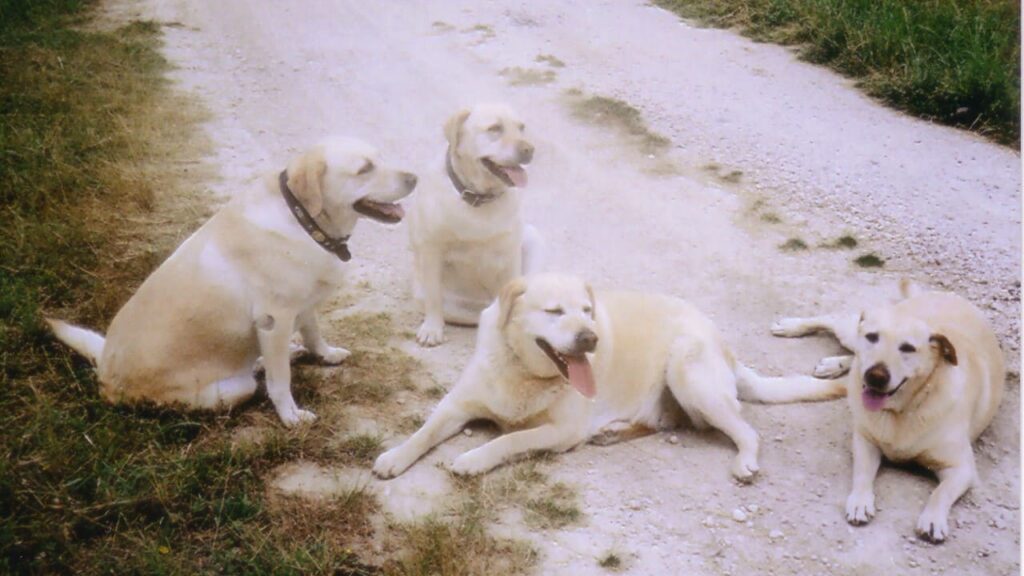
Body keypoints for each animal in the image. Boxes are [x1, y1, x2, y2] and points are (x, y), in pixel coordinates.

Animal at [48, 136, 415, 424]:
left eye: (380, 157)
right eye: (364, 168)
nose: (415, 177)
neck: (303, 219)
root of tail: (105, 374)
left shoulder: (303, 304)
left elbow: (313, 333)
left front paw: (324, 354)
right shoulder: (274, 319)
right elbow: (281, 382)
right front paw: (291, 416)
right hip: (232, 389)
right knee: (257, 379)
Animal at [374, 270, 839, 477]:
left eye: (586, 310)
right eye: (554, 311)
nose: (590, 337)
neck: (523, 372)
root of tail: (724, 345)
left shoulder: (561, 431)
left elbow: (510, 439)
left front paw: (473, 458)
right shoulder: (457, 404)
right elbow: (424, 431)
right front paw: (395, 457)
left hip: (687, 371)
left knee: (743, 429)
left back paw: (745, 460)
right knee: (665, 421)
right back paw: (614, 431)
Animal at [405, 103, 544, 344]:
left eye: (521, 128)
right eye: (495, 128)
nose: (529, 150)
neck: (480, 198)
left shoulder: (510, 254)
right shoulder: (432, 249)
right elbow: (434, 297)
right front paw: (432, 329)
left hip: (532, 237)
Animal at [770, 280, 1003, 541]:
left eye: (908, 348)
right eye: (873, 337)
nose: (875, 376)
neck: (903, 410)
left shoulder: (961, 469)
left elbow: (939, 493)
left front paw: (933, 519)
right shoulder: (864, 441)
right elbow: (862, 474)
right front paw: (860, 502)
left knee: (853, 355)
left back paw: (834, 364)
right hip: (852, 333)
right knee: (832, 320)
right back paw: (791, 326)